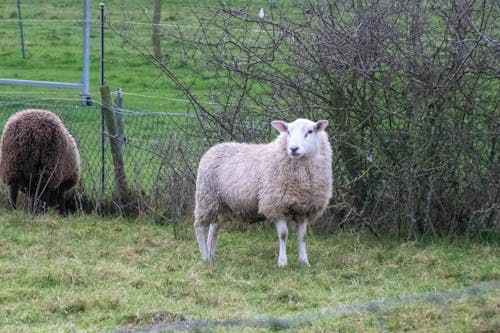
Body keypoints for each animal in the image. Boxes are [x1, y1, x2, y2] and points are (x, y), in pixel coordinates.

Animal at [194, 118, 332, 266]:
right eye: (288, 132)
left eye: (310, 131)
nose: (293, 149)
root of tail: (214, 148)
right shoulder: (275, 205)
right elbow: (283, 235)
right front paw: (282, 262)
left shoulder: (303, 209)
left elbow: (302, 237)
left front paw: (304, 262)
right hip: (206, 198)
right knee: (199, 227)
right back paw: (205, 256)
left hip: (224, 206)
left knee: (214, 227)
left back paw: (211, 256)